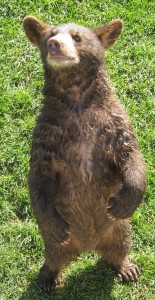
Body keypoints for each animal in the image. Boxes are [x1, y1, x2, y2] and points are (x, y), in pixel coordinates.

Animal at [23, 15, 145, 292]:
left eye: (77, 37)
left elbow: (132, 156)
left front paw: (123, 201)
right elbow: (38, 178)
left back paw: (127, 268)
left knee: (121, 246)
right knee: (54, 254)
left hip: (119, 229)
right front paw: (54, 226)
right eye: (50, 35)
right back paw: (48, 277)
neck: (76, 100)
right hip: (58, 244)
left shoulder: (112, 124)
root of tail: (88, 245)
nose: (55, 44)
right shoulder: (49, 134)